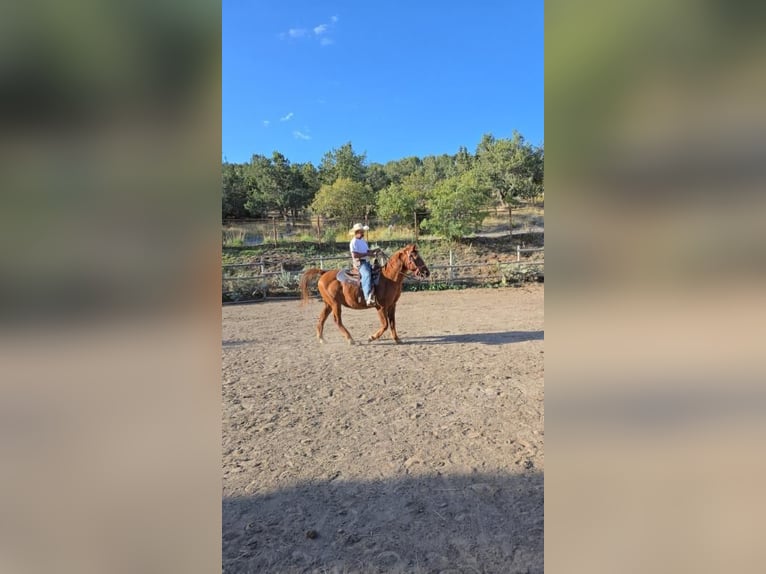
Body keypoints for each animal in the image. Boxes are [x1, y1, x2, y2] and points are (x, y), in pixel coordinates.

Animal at [300, 244, 432, 346]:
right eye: (415, 257)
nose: (426, 272)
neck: (388, 278)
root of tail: (323, 273)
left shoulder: (392, 305)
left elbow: (392, 323)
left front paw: (397, 339)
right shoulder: (381, 307)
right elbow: (385, 324)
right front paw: (372, 337)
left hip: (328, 304)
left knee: (322, 318)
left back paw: (322, 338)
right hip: (335, 304)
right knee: (337, 320)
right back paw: (350, 339)